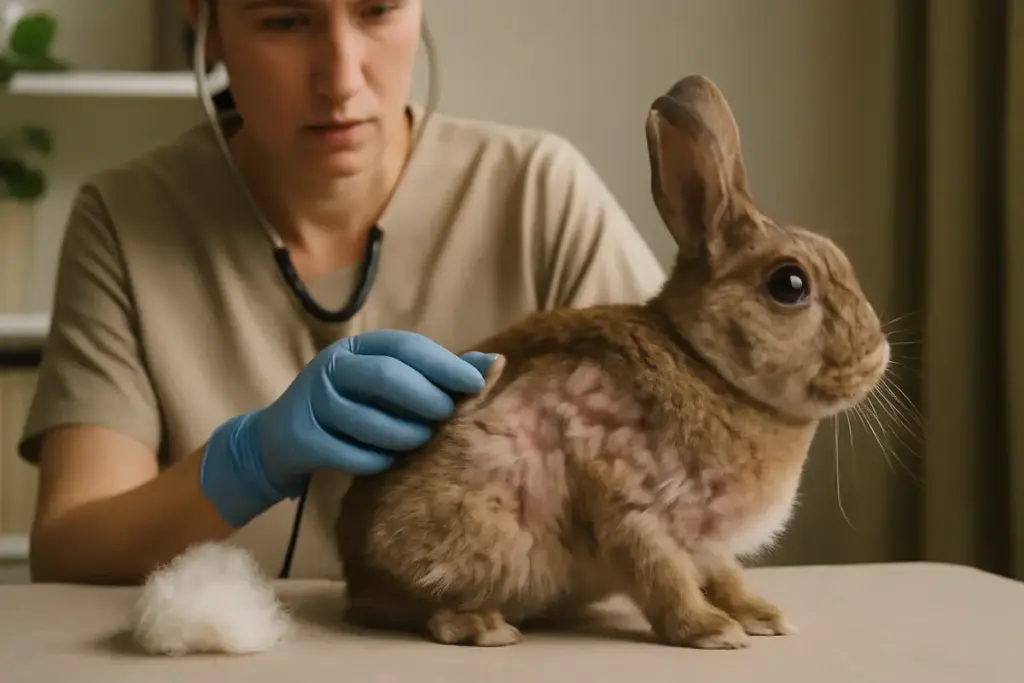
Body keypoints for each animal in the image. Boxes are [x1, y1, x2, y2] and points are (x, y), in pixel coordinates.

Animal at [332, 73, 890, 650]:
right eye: (789, 284)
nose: (878, 355)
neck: (707, 365)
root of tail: (356, 568)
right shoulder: (630, 509)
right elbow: (664, 579)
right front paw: (713, 632)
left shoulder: (705, 543)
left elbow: (725, 576)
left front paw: (763, 617)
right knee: (424, 607)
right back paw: (483, 626)